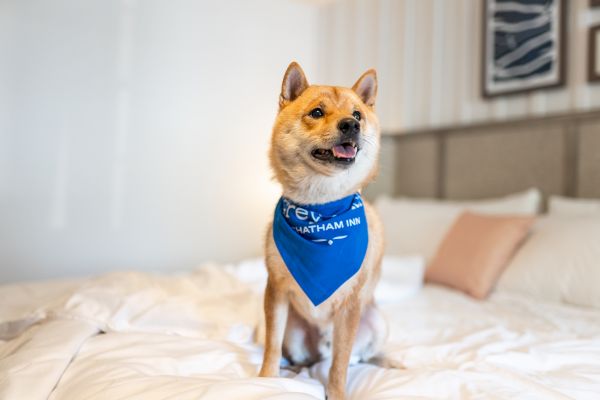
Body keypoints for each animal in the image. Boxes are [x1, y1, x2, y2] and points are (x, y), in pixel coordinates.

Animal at [260, 61, 386, 400]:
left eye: (357, 115)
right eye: (317, 112)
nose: (351, 125)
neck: (320, 210)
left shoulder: (351, 305)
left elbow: (340, 363)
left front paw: (337, 392)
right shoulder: (276, 290)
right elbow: (271, 345)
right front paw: (265, 380)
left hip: (374, 321)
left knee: (355, 357)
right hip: (295, 332)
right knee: (306, 358)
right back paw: (295, 371)